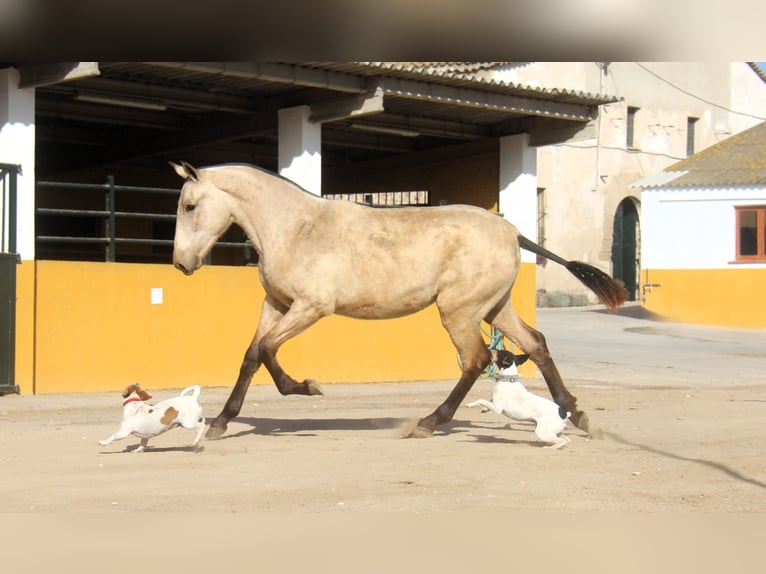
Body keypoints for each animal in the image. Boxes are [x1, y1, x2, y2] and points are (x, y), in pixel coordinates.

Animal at [170, 161, 627, 439]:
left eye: (190, 206)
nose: (181, 264)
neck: (296, 228)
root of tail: (514, 232)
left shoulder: (311, 307)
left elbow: (266, 350)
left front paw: (306, 387)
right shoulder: (277, 303)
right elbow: (251, 355)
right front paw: (221, 421)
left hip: (459, 311)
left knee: (476, 359)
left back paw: (428, 422)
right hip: (494, 307)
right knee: (535, 344)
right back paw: (575, 413)